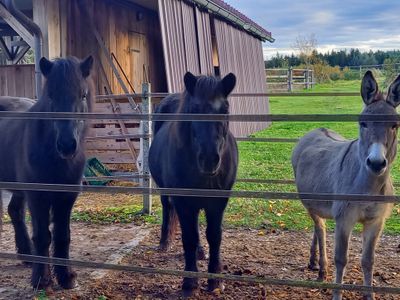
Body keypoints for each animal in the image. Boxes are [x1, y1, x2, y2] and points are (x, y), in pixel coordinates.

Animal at [0, 55, 94, 290]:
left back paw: (27, 255)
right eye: (50, 95)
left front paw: (66, 277)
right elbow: (43, 236)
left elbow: (62, 236)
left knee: (15, 211)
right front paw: (41, 279)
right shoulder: (37, 195)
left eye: (83, 94)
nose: (67, 145)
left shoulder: (67, 196)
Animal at [149, 71, 238, 296]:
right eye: (194, 110)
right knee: (168, 209)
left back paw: (200, 252)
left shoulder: (218, 203)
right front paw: (190, 282)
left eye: (225, 109)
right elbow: (188, 237)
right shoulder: (183, 202)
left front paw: (215, 281)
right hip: (168, 193)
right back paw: (165, 242)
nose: (209, 159)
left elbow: (214, 236)